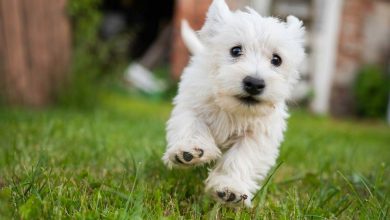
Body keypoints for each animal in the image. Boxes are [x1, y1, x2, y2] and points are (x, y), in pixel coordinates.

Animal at [161, 0, 304, 207]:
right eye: (235, 50)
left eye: (277, 60)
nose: (254, 83)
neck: (232, 108)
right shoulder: (191, 107)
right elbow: (193, 126)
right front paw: (188, 150)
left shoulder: (258, 134)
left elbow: (241, 157)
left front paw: (230, 188)